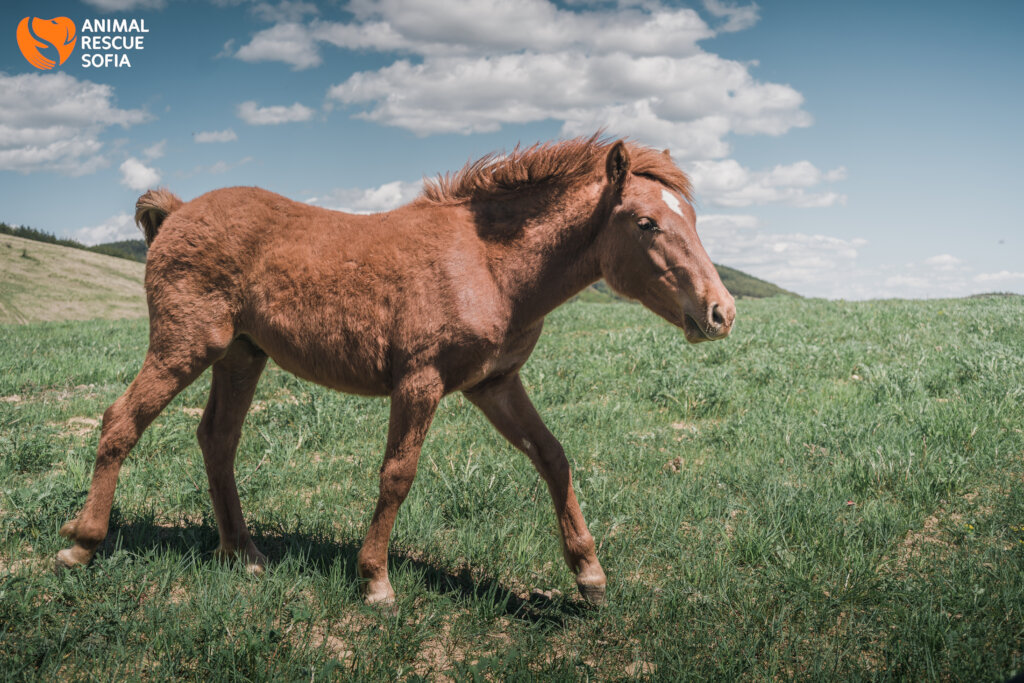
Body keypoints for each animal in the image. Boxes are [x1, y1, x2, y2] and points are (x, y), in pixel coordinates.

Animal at [54, 135, 735, 606]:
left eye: (694, 219)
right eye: (645, 222)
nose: (720, 312)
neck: (488, 265)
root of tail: (174, 212)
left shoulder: (494, 384)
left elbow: (553, 457)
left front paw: (589, 576)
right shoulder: (420, 381)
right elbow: (397, 475)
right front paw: (376, 581)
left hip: (243, 355)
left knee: (217, 439)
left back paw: (242, 552)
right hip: (185, 346)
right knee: (121, 421)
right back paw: (81, 543)